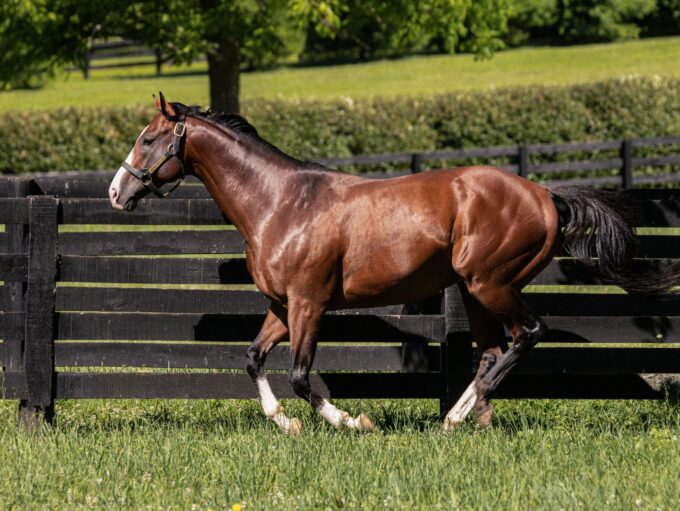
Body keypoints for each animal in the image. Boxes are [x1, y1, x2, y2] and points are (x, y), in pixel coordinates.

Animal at [109, 94, 676, 434]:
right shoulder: (282, 306)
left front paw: (351, 421)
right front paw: (285, 423)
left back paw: (464, 412)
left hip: (490, 284)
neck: (281, 203)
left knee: (528, 334)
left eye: (147, 138)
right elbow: (252, 359)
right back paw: (461, 419)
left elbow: (301, 375)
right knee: (492, 351)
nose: (117, 192)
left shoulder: (310, 305)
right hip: (473, 290)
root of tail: (545, 195)